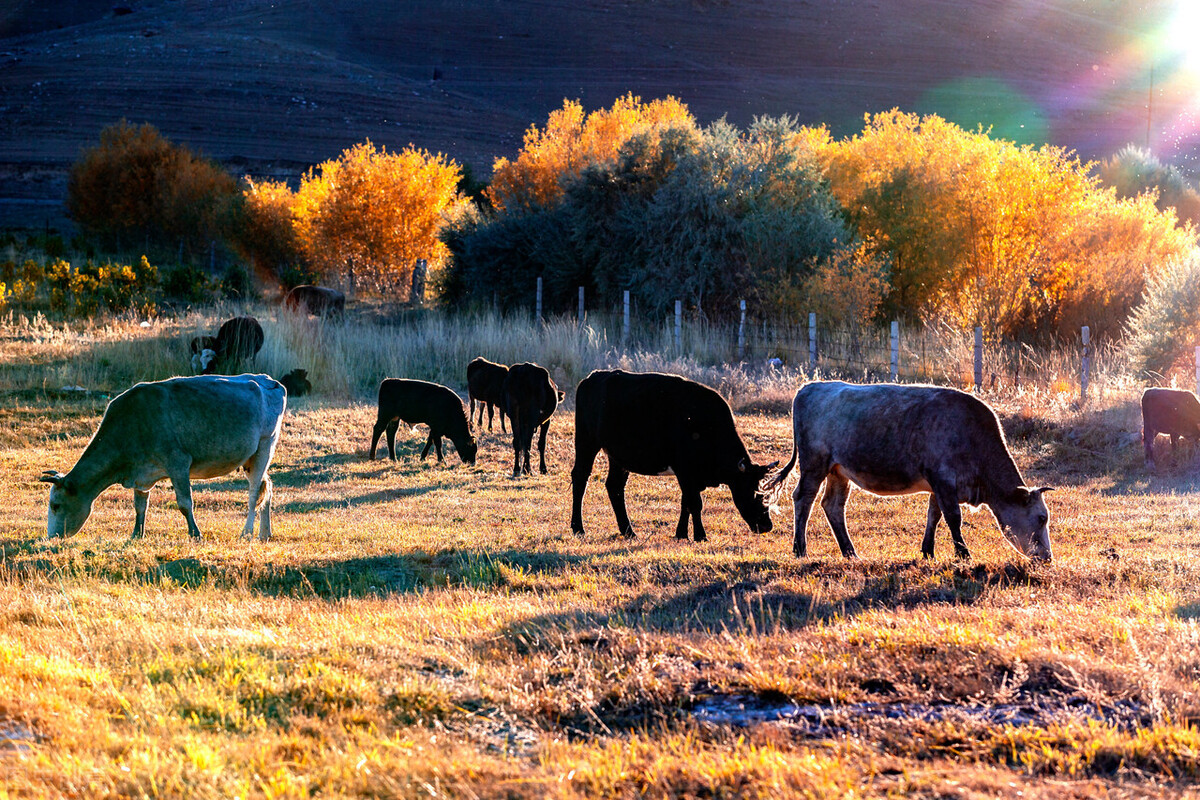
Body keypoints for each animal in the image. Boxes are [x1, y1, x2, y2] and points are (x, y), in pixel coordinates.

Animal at [38, 376, 286, 542]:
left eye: (55, 505)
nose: (51, 537)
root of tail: (269, 380)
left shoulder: (178, 463)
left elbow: (185, 503)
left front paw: (195, 534)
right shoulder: (142, 475)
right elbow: (140, 506)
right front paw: (137, 534)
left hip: (265, 445)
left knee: (254, 494)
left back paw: (247, 532)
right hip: (251, 458)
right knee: (266, 487)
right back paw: (265, 533)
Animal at [571, 371, 777, 542]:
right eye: (755, 492)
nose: (767, 525)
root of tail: (592, 377)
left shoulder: (691, 476)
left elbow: (686, 503)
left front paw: (681, 534)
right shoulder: (685, 470)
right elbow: (695, 503)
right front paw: (700, 536)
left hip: (618, 457)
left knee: (614, 487)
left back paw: (628, 531)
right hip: (586, 442)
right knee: (580, 478)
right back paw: (578, 528)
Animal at [763, 383, 1056, 561]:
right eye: (1041, 518)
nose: (1048, 557)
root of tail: (813, 386)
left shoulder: (939, 485)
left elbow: (934, 516)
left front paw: (928, 552)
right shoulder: (943, 479)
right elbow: (953, 518)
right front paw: (963, 554)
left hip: (839, 471)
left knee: (833, 505)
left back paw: (850, 552)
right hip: (814, 464)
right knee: (804, 499)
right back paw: (800, 549)